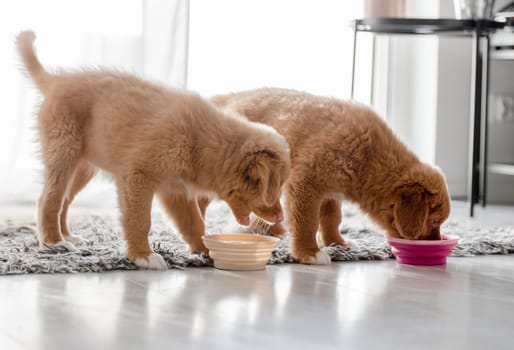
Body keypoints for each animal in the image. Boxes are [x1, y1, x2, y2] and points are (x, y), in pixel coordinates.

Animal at [16, 32, 288, 268]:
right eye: (271, 188)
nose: (280, 218)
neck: (202, 139)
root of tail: (55, 80)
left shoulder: (175, 190)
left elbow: (194, 223)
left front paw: (206, 250)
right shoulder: (137, 177)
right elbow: (140, 220)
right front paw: (143, 256)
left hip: (84, 166)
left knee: (64, 200)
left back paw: (67, 236)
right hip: (63, 151)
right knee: (49, 198)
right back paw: (54, 242)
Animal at [210, 88, 450, 266]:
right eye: (434, 220)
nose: (437, 242)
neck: (370, 156)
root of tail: (224, 99)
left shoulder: (331, 191)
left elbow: (331, 219)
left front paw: (338, 244)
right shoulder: (306, 182)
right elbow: (307, 222)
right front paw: (309, 252)